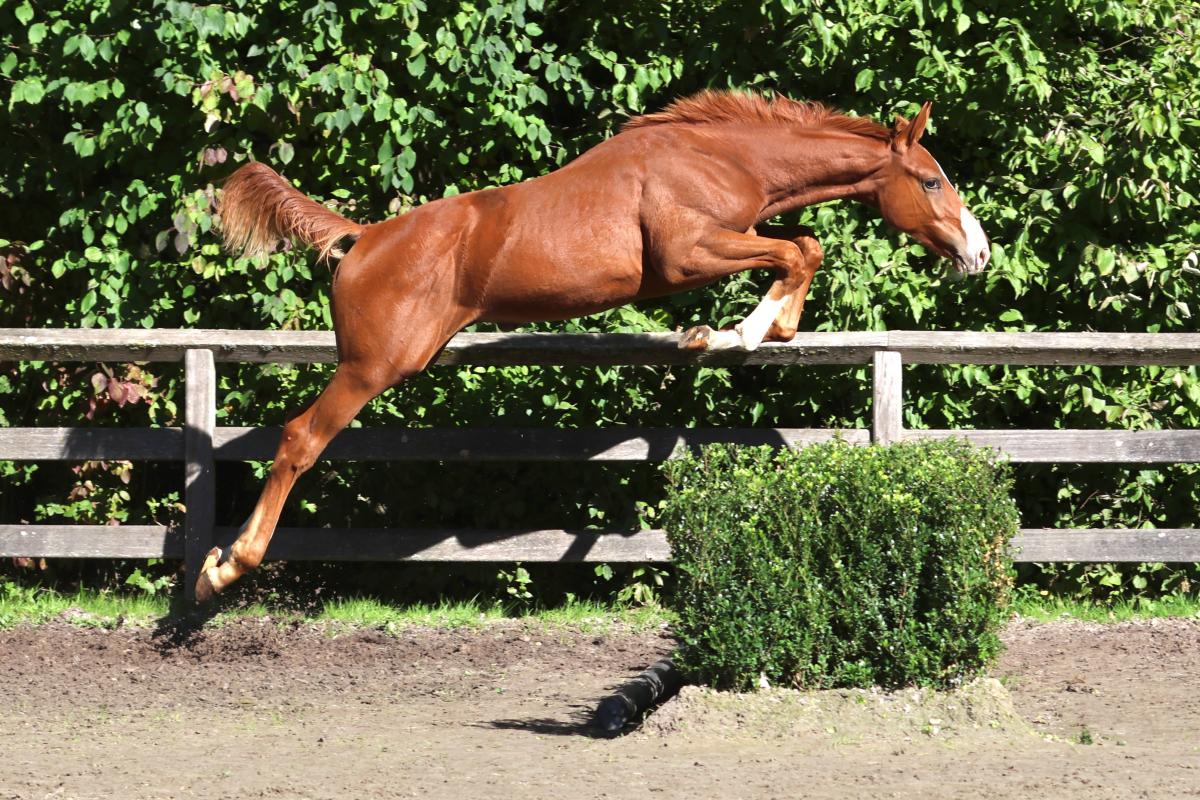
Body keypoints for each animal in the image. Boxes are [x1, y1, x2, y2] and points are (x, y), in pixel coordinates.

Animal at [196, 90, 990, 601]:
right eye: (930, 180)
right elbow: (798, 250)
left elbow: (802, 246)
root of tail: (363, 239)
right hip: (372, 367)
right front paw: (730, 332)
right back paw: (221, 570)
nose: (978, 253)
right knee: (299, 440)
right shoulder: (684, 255)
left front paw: (758, 328)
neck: (721, 156)